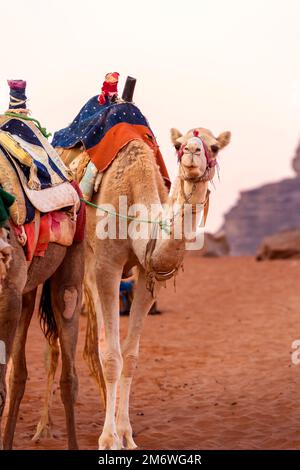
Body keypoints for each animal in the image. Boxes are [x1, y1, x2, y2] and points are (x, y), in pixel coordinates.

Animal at [32, 125, 230, 448]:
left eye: (214, 147)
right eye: (178, 144)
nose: (192, 151)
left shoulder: (147, 276)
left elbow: (131, 357)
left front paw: (125, 433)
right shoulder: (106, 267)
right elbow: (112, 357)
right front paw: (108, 438)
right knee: (53, 345)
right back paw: (43, 428)